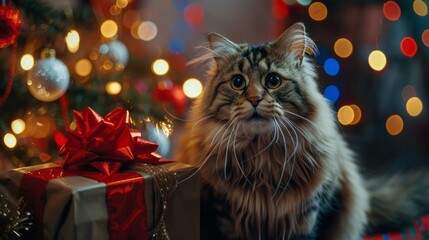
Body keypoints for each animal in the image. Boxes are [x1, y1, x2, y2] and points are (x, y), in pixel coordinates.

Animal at [174, 22, 428, 238]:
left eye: (273, 80)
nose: (254, 99)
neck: (262, 154)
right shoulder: (223, 212)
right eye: (238, 82)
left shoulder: (311, 212)